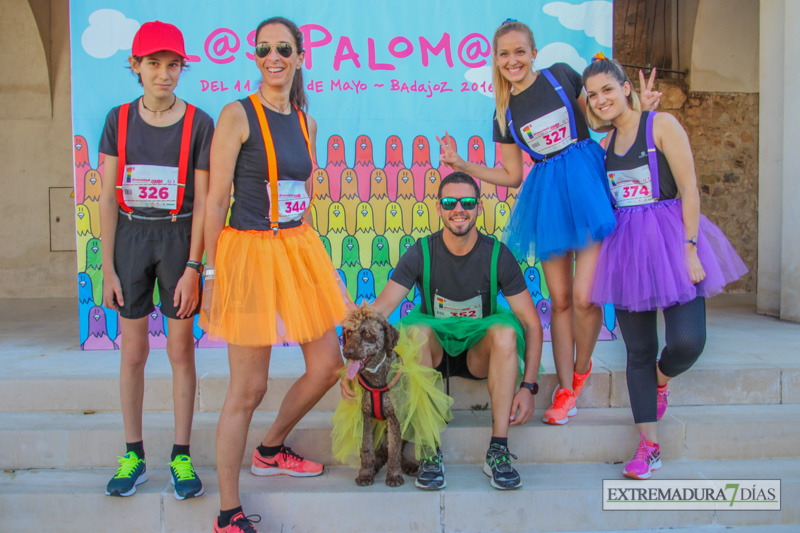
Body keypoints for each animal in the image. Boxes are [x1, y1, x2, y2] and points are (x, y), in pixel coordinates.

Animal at [342, 306, 418, 484]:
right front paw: (365, 473)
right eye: (349, 332)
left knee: (397, 448)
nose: (347, 352)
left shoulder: (395, 417)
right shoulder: (365, 417)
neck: (376, 378)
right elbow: (366, 448)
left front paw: (394, 474)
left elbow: (395, 448)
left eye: (367, 334)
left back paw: (407, 465)